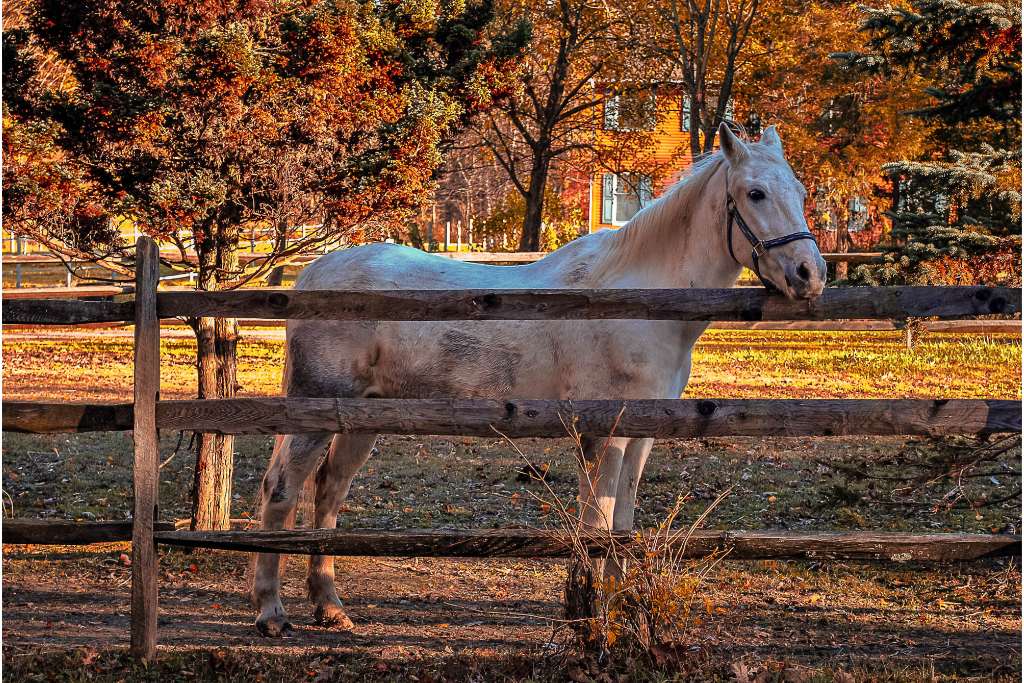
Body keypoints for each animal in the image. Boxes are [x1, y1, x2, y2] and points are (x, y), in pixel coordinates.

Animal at [251, 122, 827, 634]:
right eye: (754, 193)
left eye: (799, 191)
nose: (810, 275)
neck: (641, 300)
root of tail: (312, 275)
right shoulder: (602, 432)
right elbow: (597, 523)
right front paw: (593, 617)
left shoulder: (641, 433)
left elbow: (622, 525)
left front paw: (621, 610)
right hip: (316, 411)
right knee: (282, 490)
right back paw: (271, 613)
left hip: (362, 420)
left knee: (329, 493)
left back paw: (330, 608)